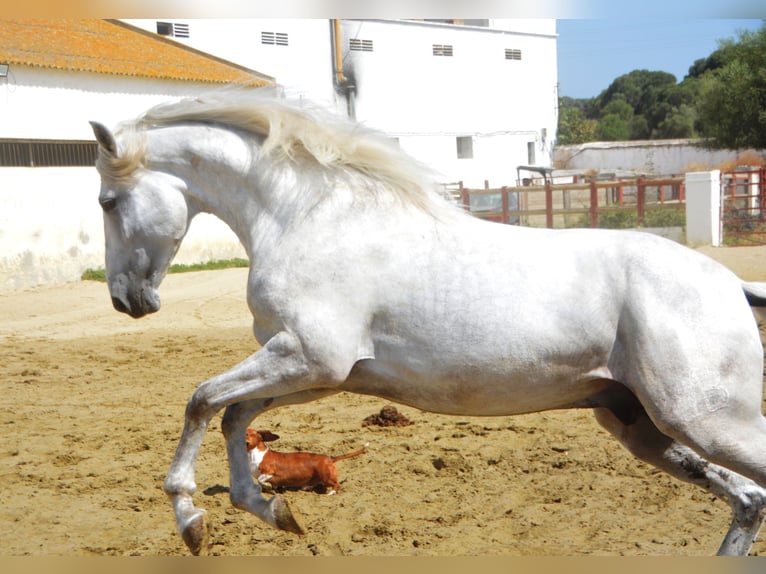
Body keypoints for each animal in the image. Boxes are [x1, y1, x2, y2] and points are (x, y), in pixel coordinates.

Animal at [93, 91, 766, 560]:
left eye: (107, 201)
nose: (126, 301)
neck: (308, 219)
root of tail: (732, 285)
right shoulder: (322, 373)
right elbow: (233, 415)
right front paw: (272, 511)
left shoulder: (308, 355)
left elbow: (200, 400)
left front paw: (189, 520)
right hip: (639, 424)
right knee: (749, 498)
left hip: (702, 418)